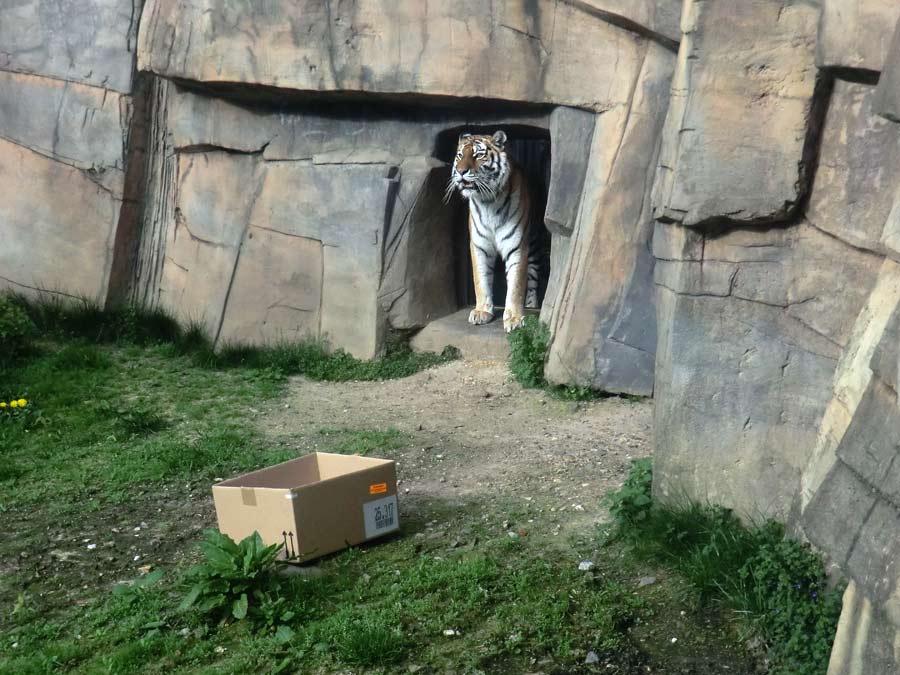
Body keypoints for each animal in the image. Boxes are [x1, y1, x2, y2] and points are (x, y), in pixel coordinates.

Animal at [444, 129, 536, 332]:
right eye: (460, 155)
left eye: (478, 155)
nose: (461, 171)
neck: (488, 203)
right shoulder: (479, 246)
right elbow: (481, 279)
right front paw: (482, 311)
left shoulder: (517, 246)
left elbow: (516, 284)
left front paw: (514, 318)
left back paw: (533, 304)